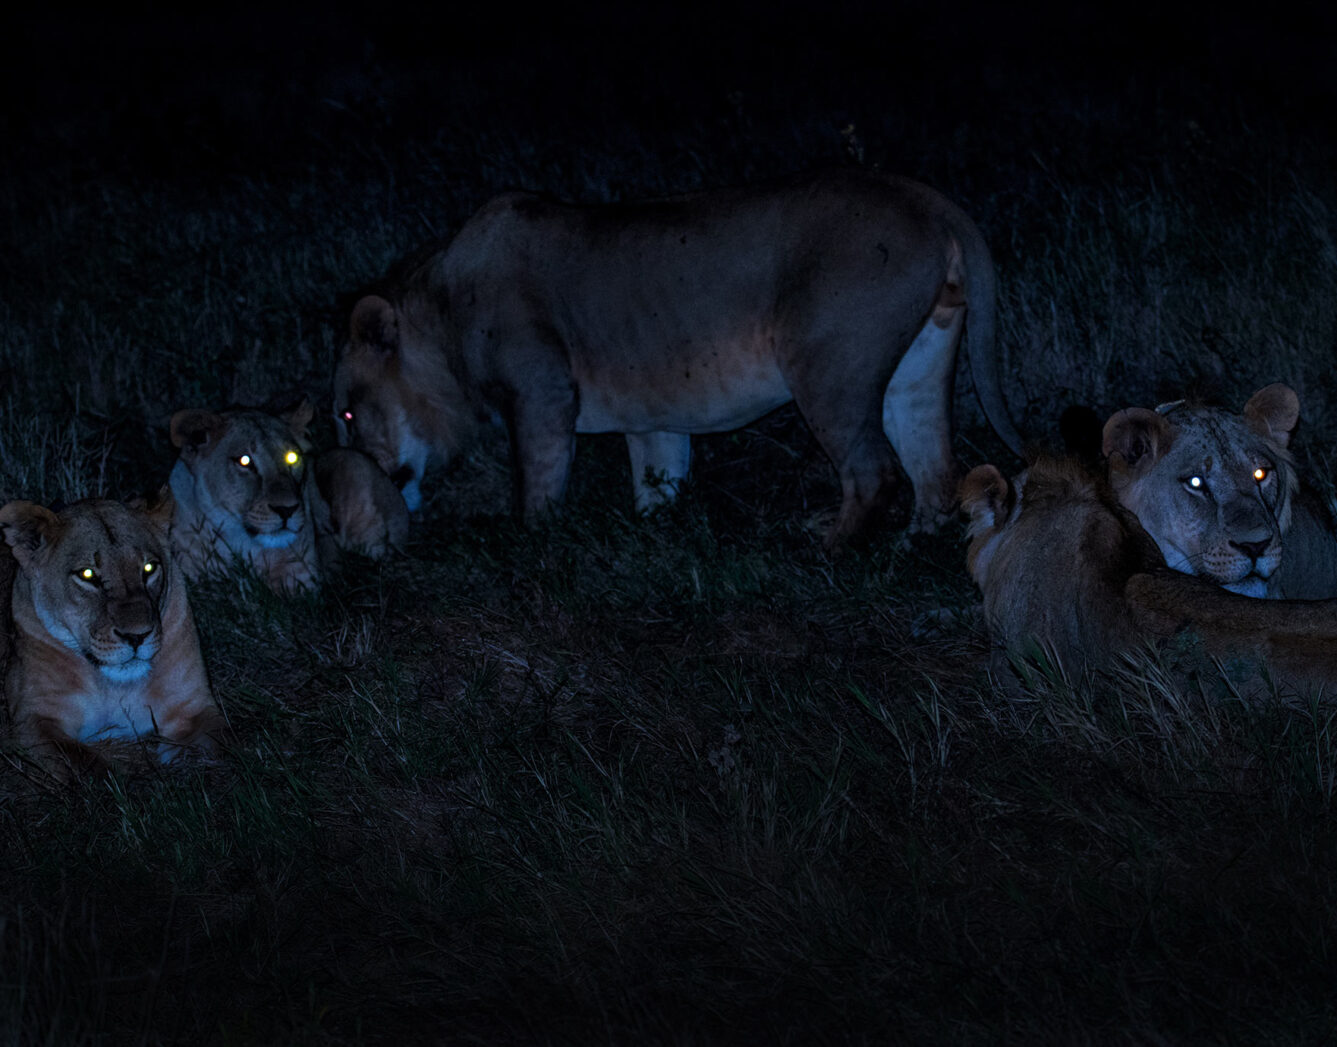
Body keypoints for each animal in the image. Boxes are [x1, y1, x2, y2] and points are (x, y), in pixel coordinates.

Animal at [0, 494, 224, 775]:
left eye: (149, 568)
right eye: (87, 575)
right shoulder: (33, 720)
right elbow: (84, 765)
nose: (137, 636)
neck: (115, 686)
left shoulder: (194, 708)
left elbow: (215, 750)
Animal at [334, 167, 1021, 545]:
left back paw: (827, 551)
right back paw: (909, 550)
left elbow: (538, 485)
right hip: (920, 363)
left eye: (345, 414)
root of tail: (927, 198)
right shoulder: (653, 420)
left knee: (873, 471)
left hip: (827, 366)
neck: (442, 309)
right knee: (934, 469)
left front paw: (533, 546)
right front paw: (654, 535)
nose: (358, 475)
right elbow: (656, 482)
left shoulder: (541, 394)